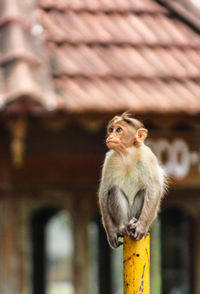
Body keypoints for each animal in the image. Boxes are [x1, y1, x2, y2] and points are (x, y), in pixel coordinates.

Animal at [97, 112, 166, 248]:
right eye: (111, 130)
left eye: (119, 130)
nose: (111, 135)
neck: (127, 153)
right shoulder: (109, 160)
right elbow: (104, 192)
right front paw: (111, 233)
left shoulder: (147, 157)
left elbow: (154, 189)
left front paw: (141, 227)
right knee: (114, 190)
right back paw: (123, 226)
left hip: (134, 212)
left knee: (144, 191)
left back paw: (134, 223)